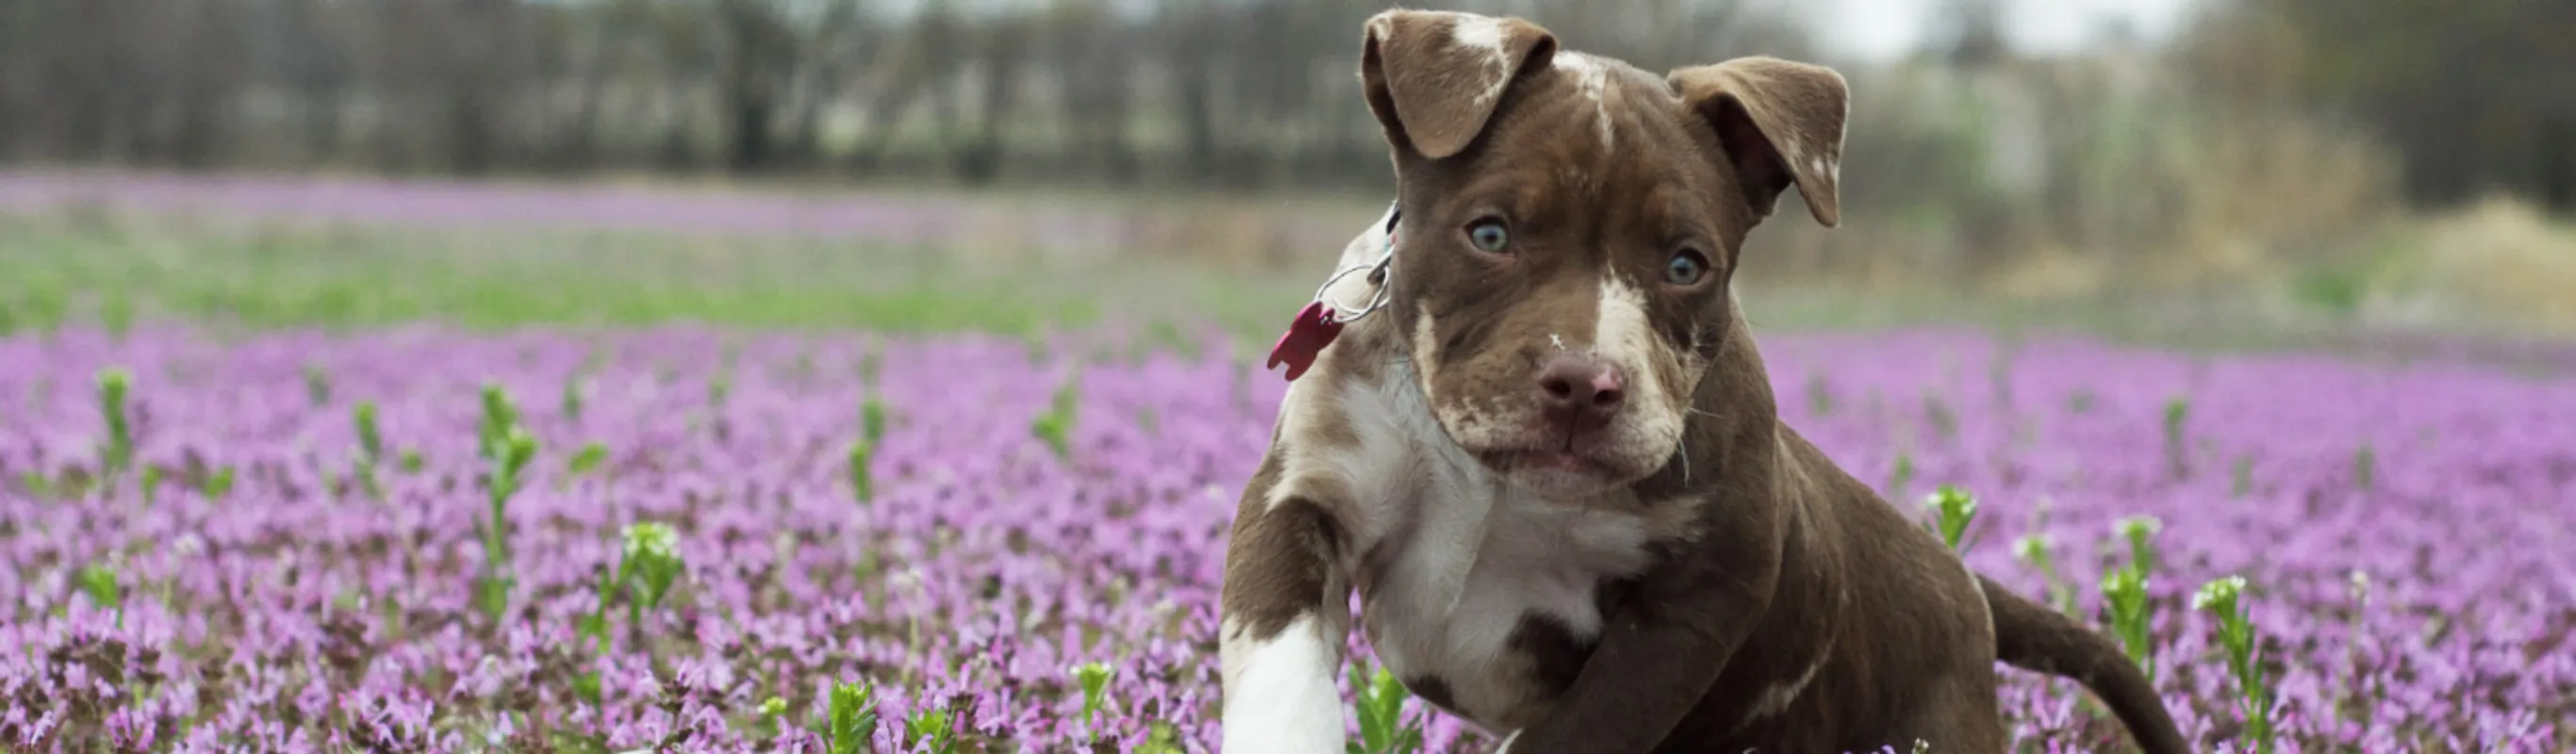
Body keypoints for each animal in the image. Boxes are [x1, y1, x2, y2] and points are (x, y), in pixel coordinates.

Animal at [1215, 9, 2184, 751]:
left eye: (1686, 264)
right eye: (1489, 234)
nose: (1585, 384)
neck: (1494, 482)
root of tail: (1961, 581)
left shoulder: (1700, 600)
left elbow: (1575, 732)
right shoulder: (1304, 496)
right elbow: (1279, 672)